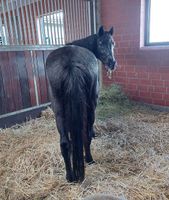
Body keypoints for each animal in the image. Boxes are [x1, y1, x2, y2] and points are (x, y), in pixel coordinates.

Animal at [45, 25, 116, 182]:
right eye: (101, 43)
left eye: (113, 43)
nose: (112, 63)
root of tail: (70, 63)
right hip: (90, 106)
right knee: (86, 135)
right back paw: (89, 159)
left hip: (58, 109)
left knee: (65, 143)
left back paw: (70, 176)